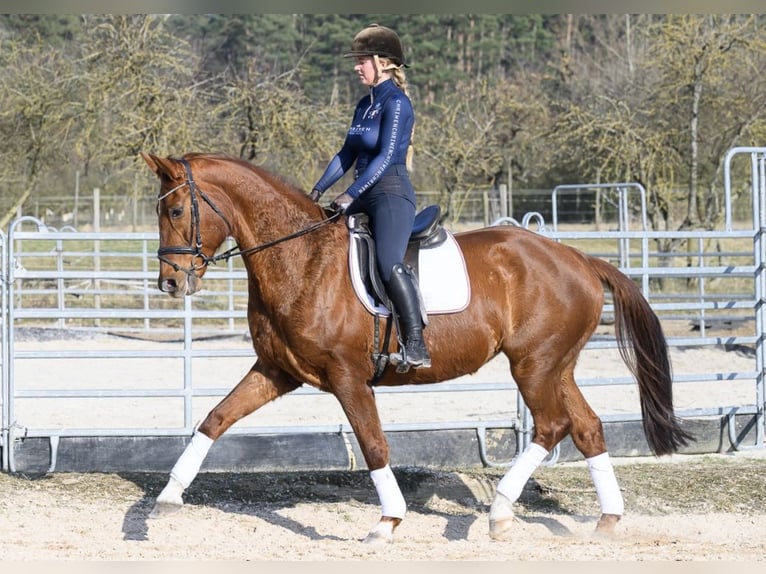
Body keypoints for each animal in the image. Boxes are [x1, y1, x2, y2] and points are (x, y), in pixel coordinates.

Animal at [141, 152, 692, 544]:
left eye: (176, 209)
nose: (170, 282)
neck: (301, 258)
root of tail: (579, 258)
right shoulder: (278, 371)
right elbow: (214, 419)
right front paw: (166, 500)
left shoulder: (347, 377)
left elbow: (373, 444)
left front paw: (388, 521)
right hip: (556, 365)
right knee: (588, 427)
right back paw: (608, 521)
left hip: (533, 364)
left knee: (553, 425)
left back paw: (499, 513)